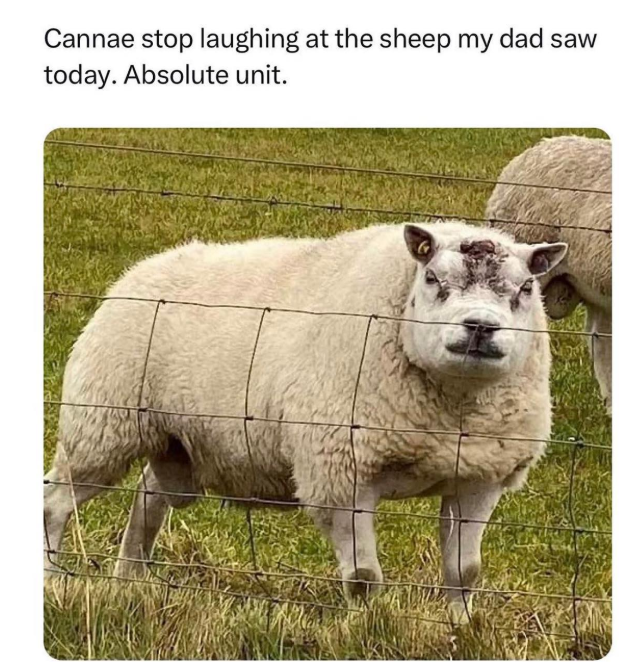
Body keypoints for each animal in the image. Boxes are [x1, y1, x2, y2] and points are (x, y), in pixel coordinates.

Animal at [44, 221, 568, 624]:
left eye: (526, 289)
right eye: (434, 279)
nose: (479, 327)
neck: (452, 409)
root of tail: (144, 268)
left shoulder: (480, 478)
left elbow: (465, 571)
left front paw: (461, 628)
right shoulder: (340, 475)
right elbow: (363, 578)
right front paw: (365, 629)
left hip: (175, 441)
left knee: (149, 496)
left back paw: (130, 578)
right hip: (101, 425)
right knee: (56, 501)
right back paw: (52, 579)